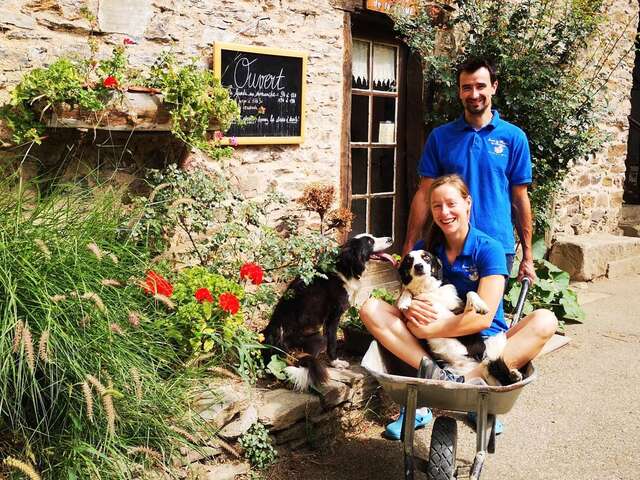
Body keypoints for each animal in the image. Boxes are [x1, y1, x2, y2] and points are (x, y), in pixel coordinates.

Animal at [262, 234, 396, 392]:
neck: (344, 268)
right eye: (370, 242)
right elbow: (332, 342)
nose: (390, 238)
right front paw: (336, 363)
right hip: (319, 339)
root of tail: (277, 346)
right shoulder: (333, 317)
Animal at [398, 249, 524, 384]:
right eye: (409, 260)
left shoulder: (459, 309)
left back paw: (514, 375)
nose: (418, 266)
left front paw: (480, 304)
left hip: (484, 361)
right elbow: (407, 291)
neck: (428, 289)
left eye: (426, 257)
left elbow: (470, 293)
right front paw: (403, 301)